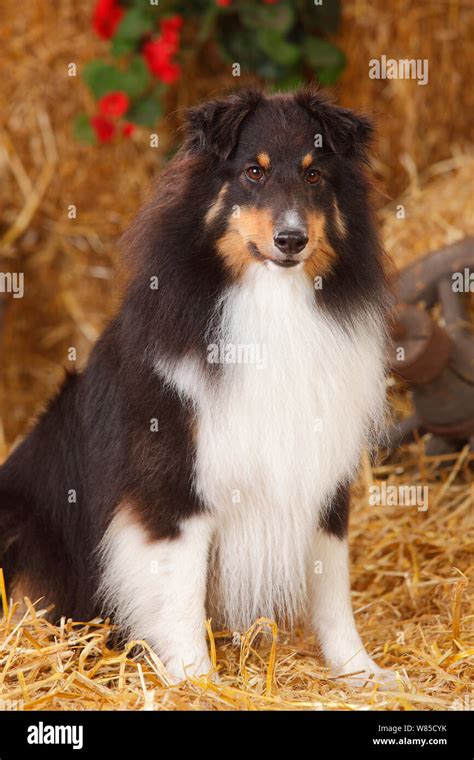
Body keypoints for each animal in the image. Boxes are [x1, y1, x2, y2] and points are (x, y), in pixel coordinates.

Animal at [0, 86, 392, 684]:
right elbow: (178, 590)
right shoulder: (173, 486)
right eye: (253, 172)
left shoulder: (321, 475)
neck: (272, 306)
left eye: (314, 174)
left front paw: (360, 672)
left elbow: (333, 587)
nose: (292, 239)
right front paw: (195, 681)